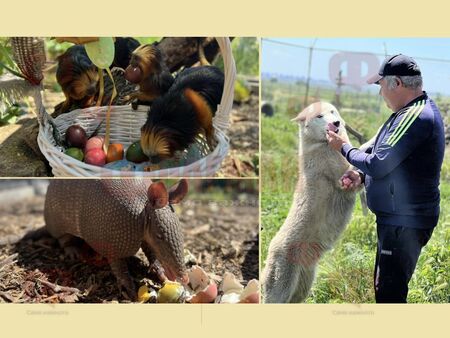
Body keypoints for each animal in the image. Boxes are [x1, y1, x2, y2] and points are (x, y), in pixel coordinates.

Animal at [262, 101, 356, 302]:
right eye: (319, 116)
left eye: (332, 111)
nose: (336, 123)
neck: (322, 145)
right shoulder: (342, 179)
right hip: (283, 281)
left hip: (304, 283)